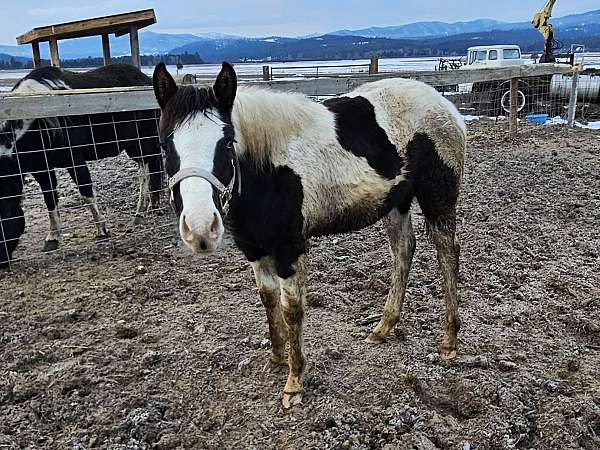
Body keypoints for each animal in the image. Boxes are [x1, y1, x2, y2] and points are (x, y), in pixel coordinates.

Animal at [0, 63, 164, 268]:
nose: (2, 262)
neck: (38, 121)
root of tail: (144, 79)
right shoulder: (41, 168)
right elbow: (50, 199)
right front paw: (53, 238)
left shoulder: (74, 160)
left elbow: (86, 192)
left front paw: (102, 231)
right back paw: (153, 205)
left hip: (140, 143)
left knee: (146, 172)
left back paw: (140, 212)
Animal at [152, 61, 466, 410]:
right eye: (164, 145)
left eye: (227, 142)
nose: (200, 228)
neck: (266, 171)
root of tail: (444, 104)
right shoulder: (254, 248)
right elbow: (267, 298)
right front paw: (276, 358)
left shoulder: (289, 249)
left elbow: (292, 309)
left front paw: (294, 382)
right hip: (396, 202)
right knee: (403, 250)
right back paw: (383, 328)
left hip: (438, 198)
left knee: (447, 254)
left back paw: (449, 341)